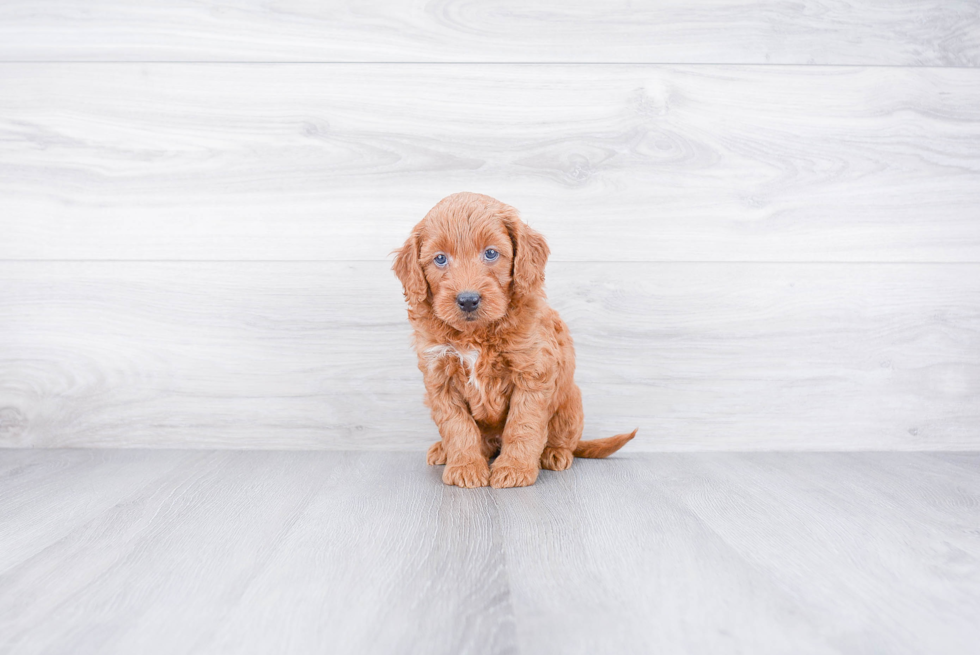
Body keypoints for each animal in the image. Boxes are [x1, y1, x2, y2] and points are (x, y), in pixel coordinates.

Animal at [390, 192, 636, 490]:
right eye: (440, 259)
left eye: (491, 253)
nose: (468, 299)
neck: (476, 334)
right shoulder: (440, 377)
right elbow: (457, 425)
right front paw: (466, 467)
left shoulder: (532, 372)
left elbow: (523, 425)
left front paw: (514, 469)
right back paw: (444, 450)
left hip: (571, 401)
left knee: (566, 436)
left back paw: (555, 452)